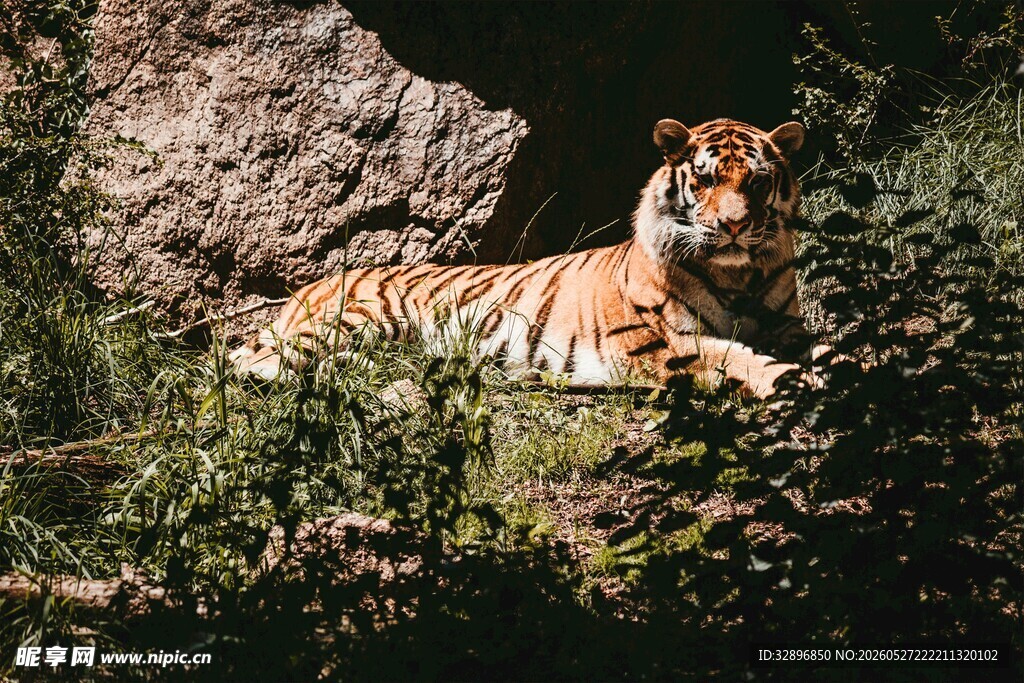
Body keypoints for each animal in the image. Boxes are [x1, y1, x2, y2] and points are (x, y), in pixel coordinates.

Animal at [230, 118, 818, 398]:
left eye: (757, 182)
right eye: (706, 179)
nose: (734, 226)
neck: (739, 274)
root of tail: (307, 287)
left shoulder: (787, 323)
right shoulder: (671, 342)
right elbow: (741, 359)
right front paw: (796, 382)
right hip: (356, 319)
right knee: (248, 366)